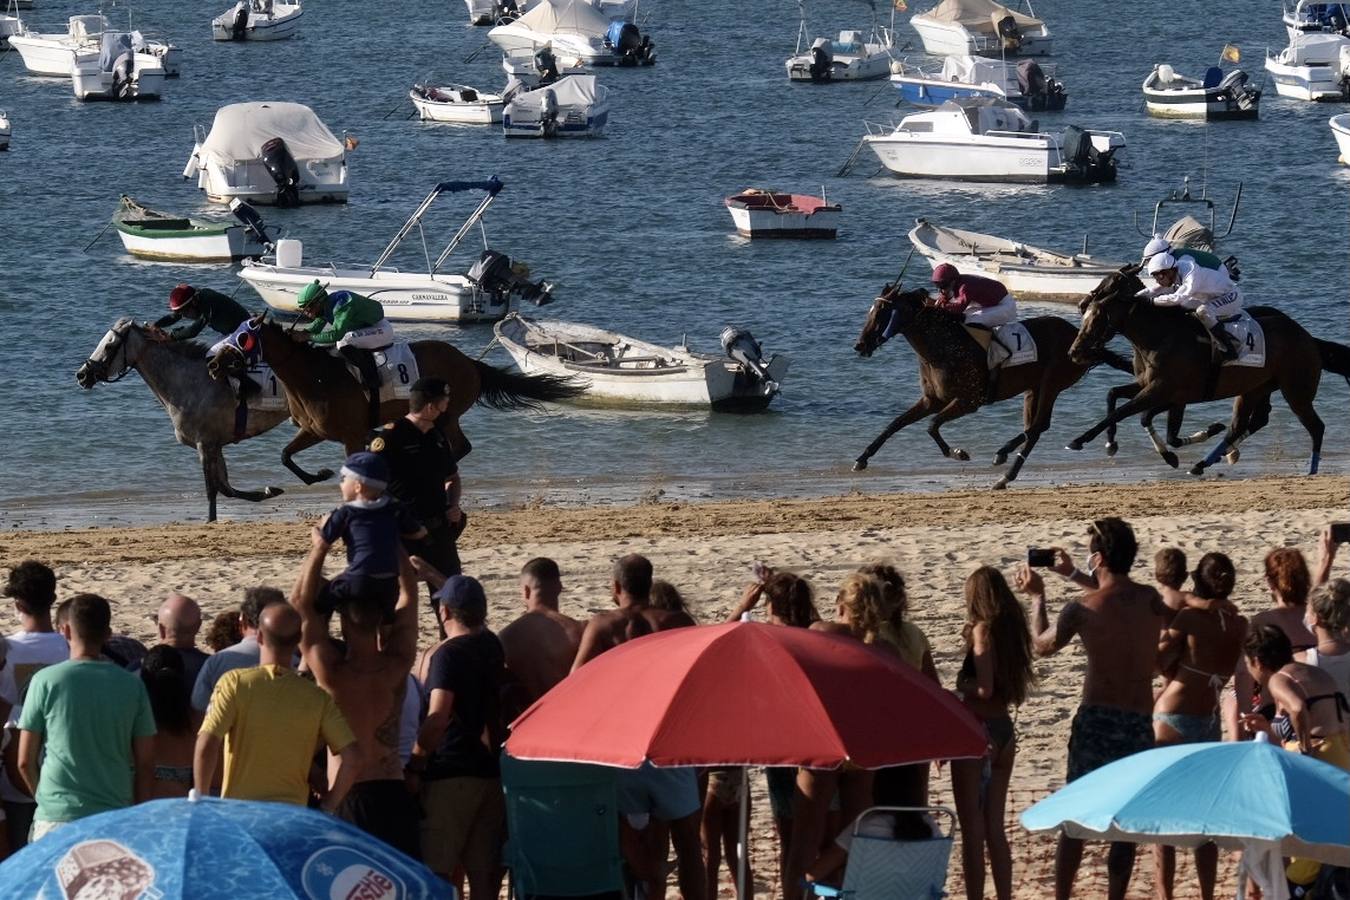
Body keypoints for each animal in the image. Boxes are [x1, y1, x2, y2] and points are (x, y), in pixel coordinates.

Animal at [75, 319, 295, 523]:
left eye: (109, 346)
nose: (82, 375)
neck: (189, 382)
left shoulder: (204, 443)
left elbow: (212, 489)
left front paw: (211, 519)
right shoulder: (214, 444)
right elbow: (225, 487)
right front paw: (267, 491)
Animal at [210, 317, 585, 485]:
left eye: (243, 337)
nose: (213, 363)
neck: (313, 378)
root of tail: (468, 361)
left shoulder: (350, 434)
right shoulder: (314, 430)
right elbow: (285, 456)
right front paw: (318, 475)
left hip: (445, 415)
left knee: (457, 448)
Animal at [853, 284, 1128, 488]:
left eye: (881, 312)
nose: (860, 345)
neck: (941, 348)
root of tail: (1079, 339)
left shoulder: (969, 401)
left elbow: (932, 426)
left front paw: (957, 452)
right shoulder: (933, 400)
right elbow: (894, 424)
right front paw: (861, 459)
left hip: (1052, 383)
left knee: (1036, 428)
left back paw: (1006, 476)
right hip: (1035, 387)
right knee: (1036, 426)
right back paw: (1002, 453)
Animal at [1063, 265, 1350, 474]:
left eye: (1097, 318)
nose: (1074, 352)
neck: (1159, 336)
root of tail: (1308, 338)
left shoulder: (1163, 392)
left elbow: (1128, 414)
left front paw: (1080, 440)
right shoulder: (1156, 390)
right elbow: (1115, 396)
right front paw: (1112, 443)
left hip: (1296, 392)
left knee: (1316, 426)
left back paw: (1311, 469)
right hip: (1254, 389)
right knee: (1247, 423)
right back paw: (1206, 462)